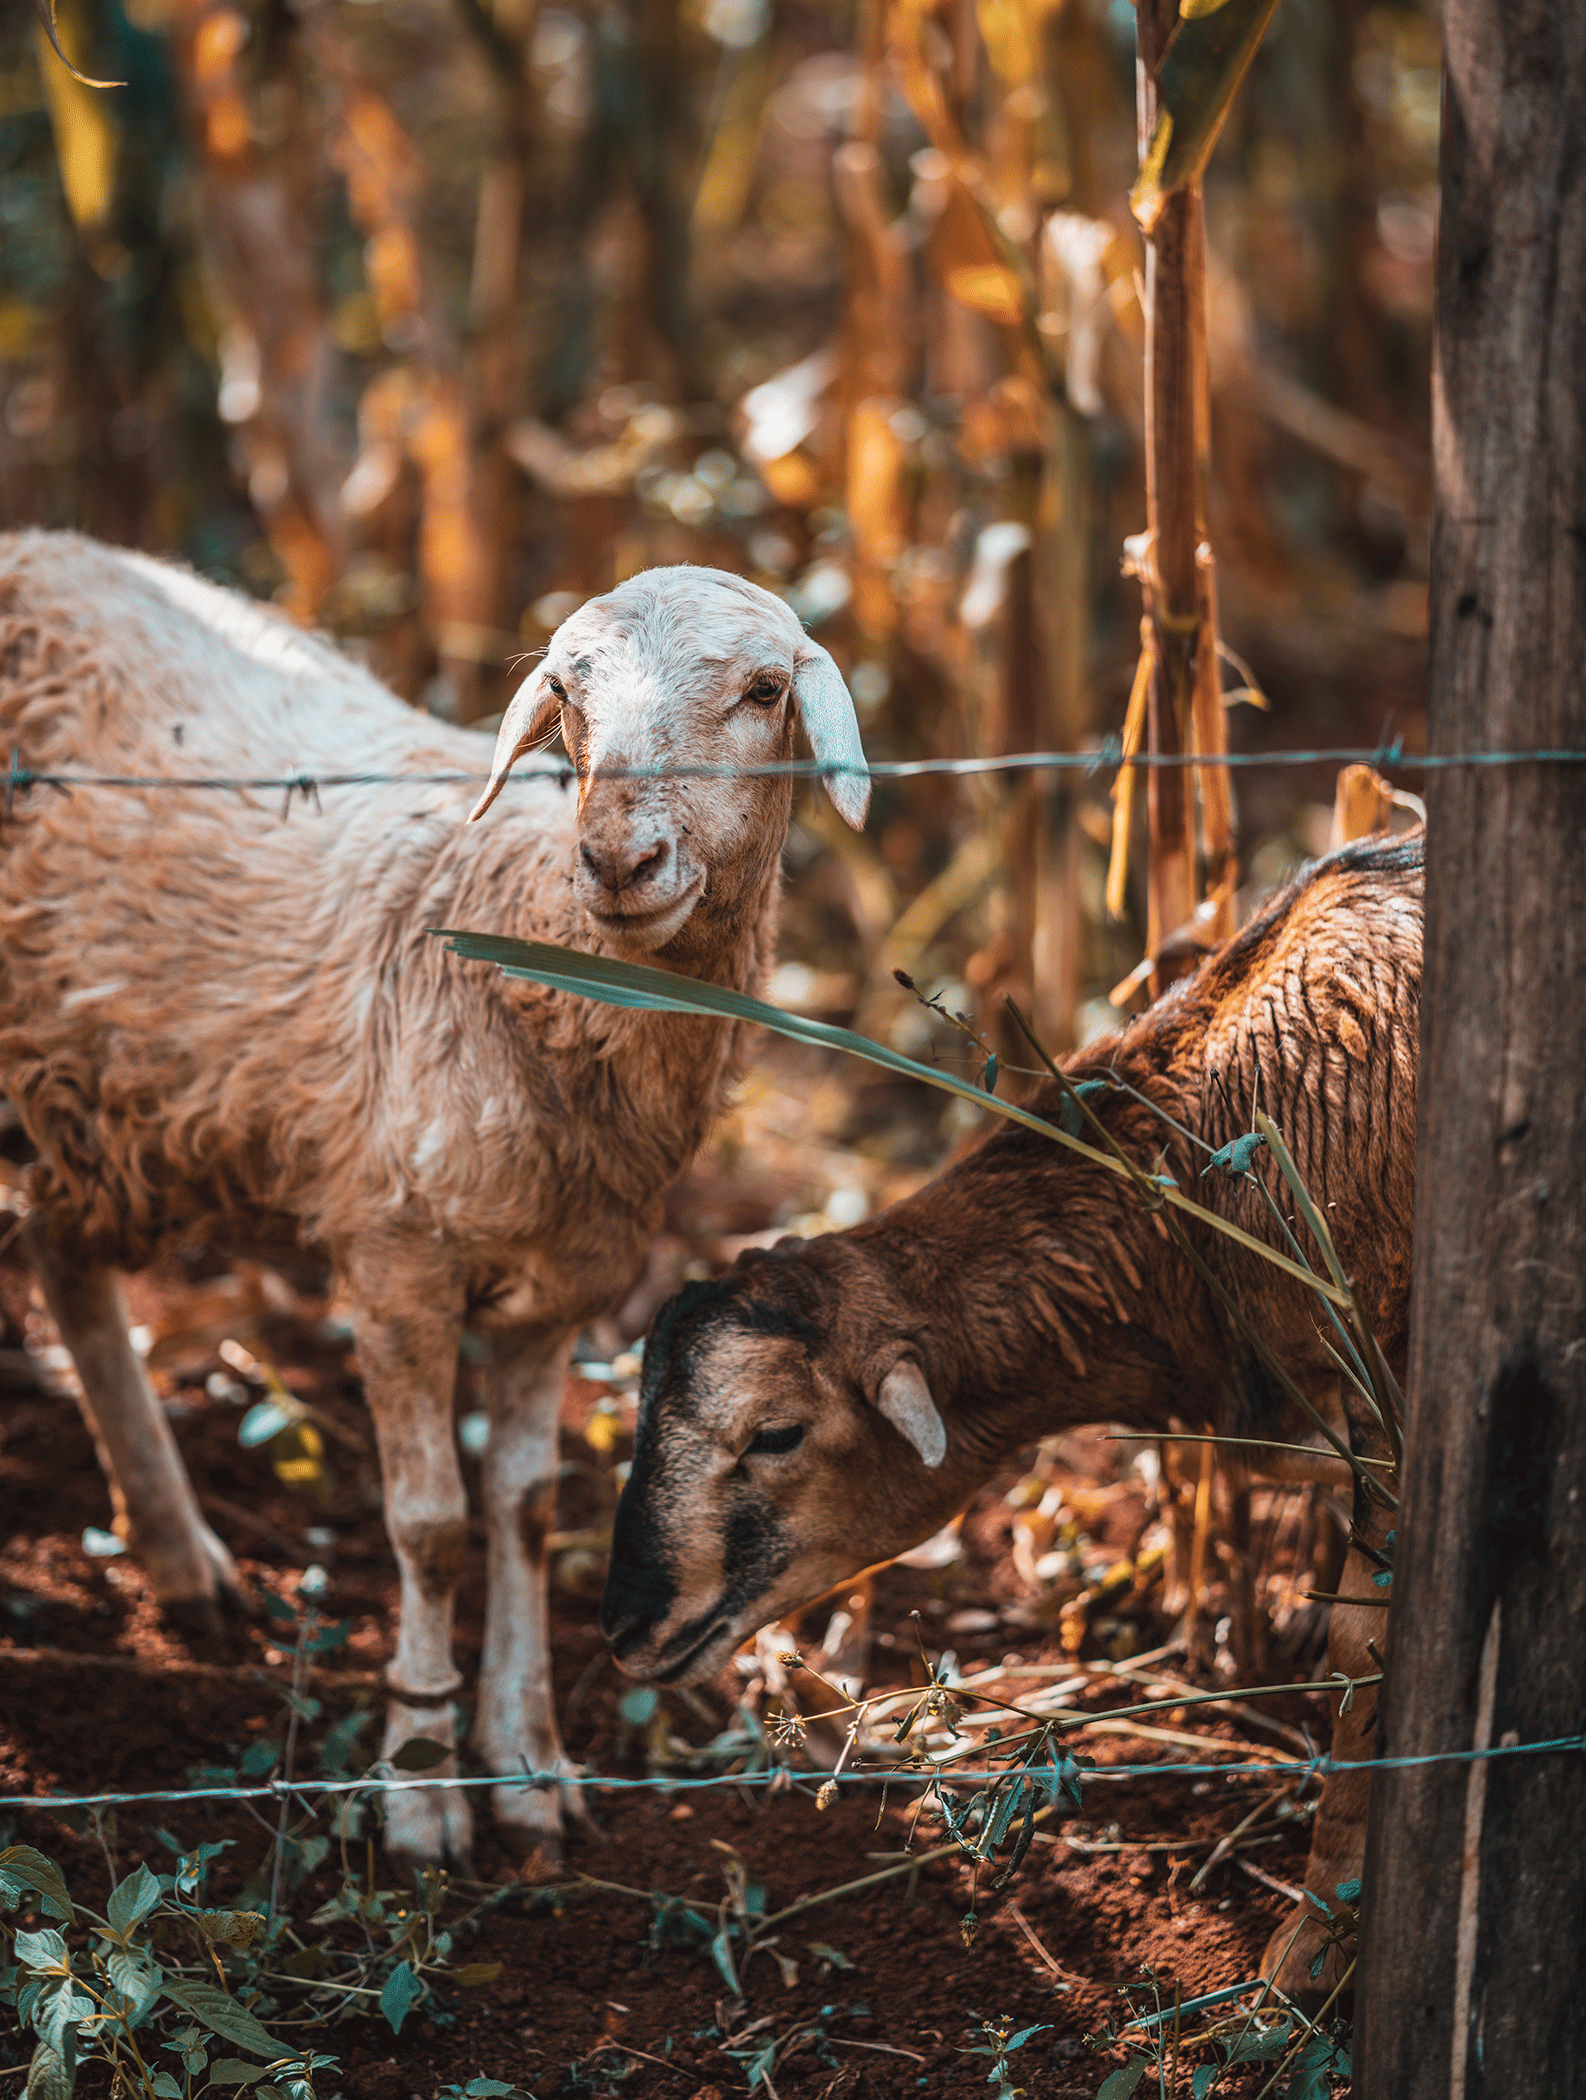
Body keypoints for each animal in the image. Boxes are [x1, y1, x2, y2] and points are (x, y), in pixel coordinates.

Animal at [0, 530, 868, 1873]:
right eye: (565, 692)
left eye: (764, 691)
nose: (617, 862)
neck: (521, 944)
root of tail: (35, 548)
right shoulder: (394, 1260)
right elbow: (428, 1525)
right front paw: (418, 1785)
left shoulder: (563, 1283)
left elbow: (523, 1509)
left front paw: (527, 1767)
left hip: (89, 1089)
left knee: (62, 1255)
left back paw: (178, 1554)